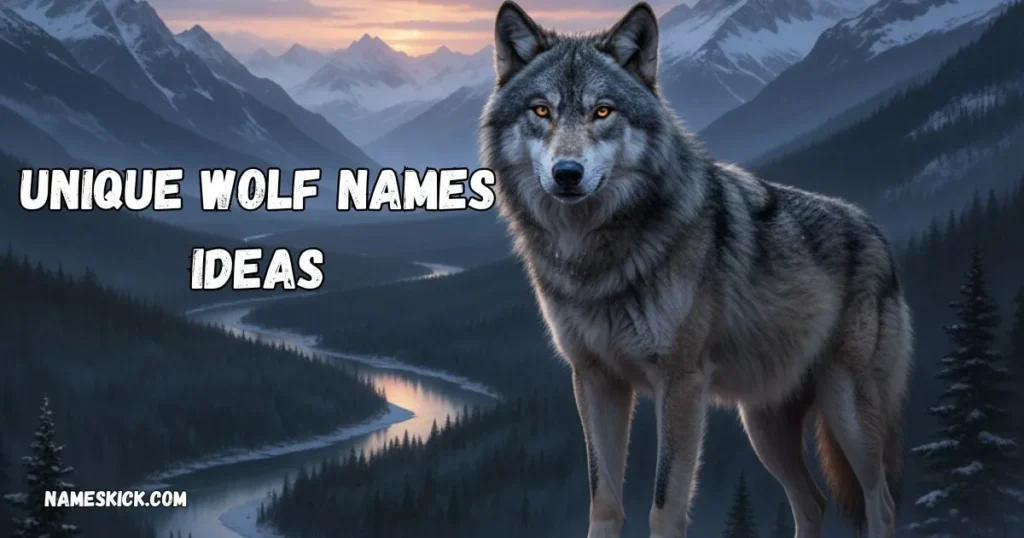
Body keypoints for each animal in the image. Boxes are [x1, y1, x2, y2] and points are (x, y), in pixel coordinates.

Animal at [479, 3, 914, 538]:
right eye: (541, 111)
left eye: (603, 111)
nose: (567, 173)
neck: (595, 256)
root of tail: (877, 233)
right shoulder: (595, 379)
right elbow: (604, 501)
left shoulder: (681, 382)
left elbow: (665, 505)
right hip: (764, 427)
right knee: (812, 502)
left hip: (847, 413)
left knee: (881, 502)